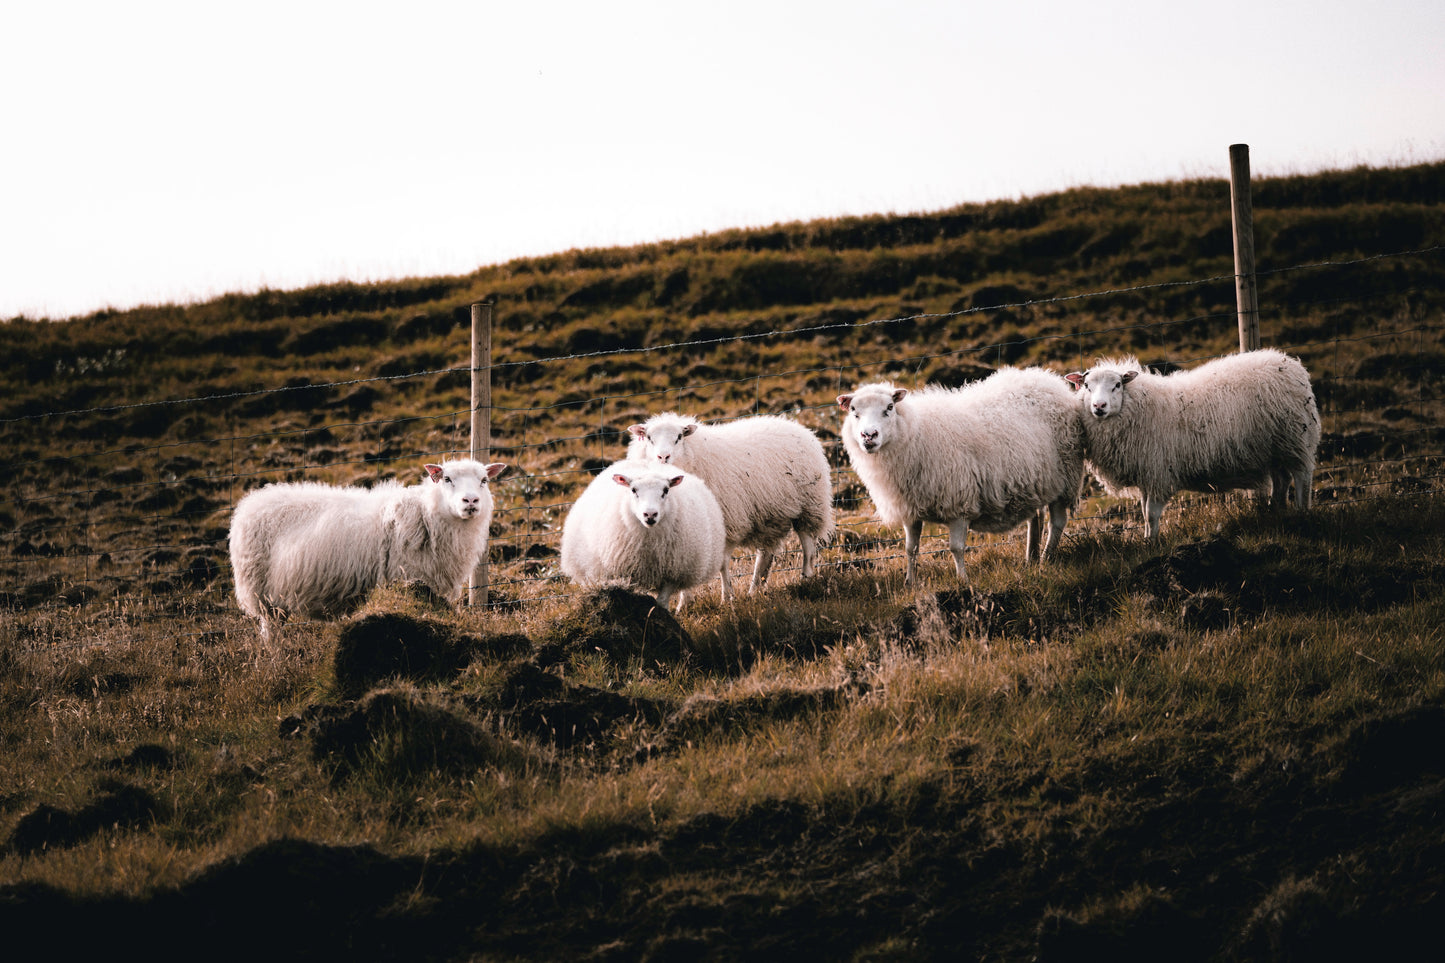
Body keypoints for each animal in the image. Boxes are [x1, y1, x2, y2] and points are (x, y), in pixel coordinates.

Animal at [229, 459, 506, 639]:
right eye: (447, 479)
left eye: (484, 480)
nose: (471, 501)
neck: (427, 515)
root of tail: (250, 502)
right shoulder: (408, 581)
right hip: (262, 594)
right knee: (271, 636)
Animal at [559, 459, 727, 609]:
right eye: (633, 490)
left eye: (666, 490)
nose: (650, 514)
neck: (649, 540)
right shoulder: (625, 574)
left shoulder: (673, 573)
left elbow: (662, 603)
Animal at [626, 412, 834, 599]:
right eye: (649, 438)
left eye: (679, 437)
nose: (663, 457)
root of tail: (797, 426)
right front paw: (685, 603)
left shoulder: (728, 521)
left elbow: (722, 564)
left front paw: (727, 597)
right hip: (770, 514)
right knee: (765, 554)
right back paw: (755, 589)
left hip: (810, 504)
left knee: (807, 543)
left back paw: (806, 578)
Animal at [837, 366, 1086, 585]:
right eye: (854, 411)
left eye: (889, 407)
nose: (869, 435)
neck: (914, 433)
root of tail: (1047, 378)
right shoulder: (911, 508)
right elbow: (910, 548)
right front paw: (910, 582)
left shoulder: (959, 503)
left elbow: (956, 548)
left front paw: (963, 581)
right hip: (1035, 481)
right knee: (1036, 518)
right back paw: (1031, 558)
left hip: (1066, 477)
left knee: (1057, 522)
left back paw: (1046, 558)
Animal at [1064, 348, 1321, 539]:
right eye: (1086, 386)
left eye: (1117, 385)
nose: (1099, 406)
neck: (1138, 406)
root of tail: (1292, 365)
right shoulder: (1147, 474)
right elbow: (1145, 513)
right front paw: (1146, 539)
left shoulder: (1158, 472)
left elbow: (1151, 514)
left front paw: (1152, 543)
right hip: (1275, 448)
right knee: (1282, 478)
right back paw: (1276, 511)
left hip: (1296, 439)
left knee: (1302, 477)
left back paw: (1302, 512)